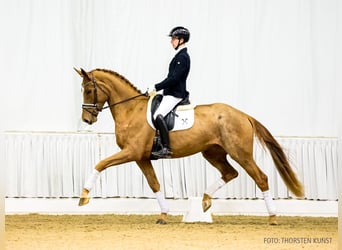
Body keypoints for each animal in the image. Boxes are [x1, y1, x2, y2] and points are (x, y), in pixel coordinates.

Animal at [74, 67, 302, 226]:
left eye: (89, 90)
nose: (86, 119)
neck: (131, 110)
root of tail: (243, 115)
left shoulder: (132, 152)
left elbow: (100, 164)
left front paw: (84, 196)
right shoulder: (142, 157)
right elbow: (154, 184)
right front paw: (163, 215)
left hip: (240, 153)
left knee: (260, 178)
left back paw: (273, 217)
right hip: (212, 152)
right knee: (230, 173)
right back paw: (205, 200)